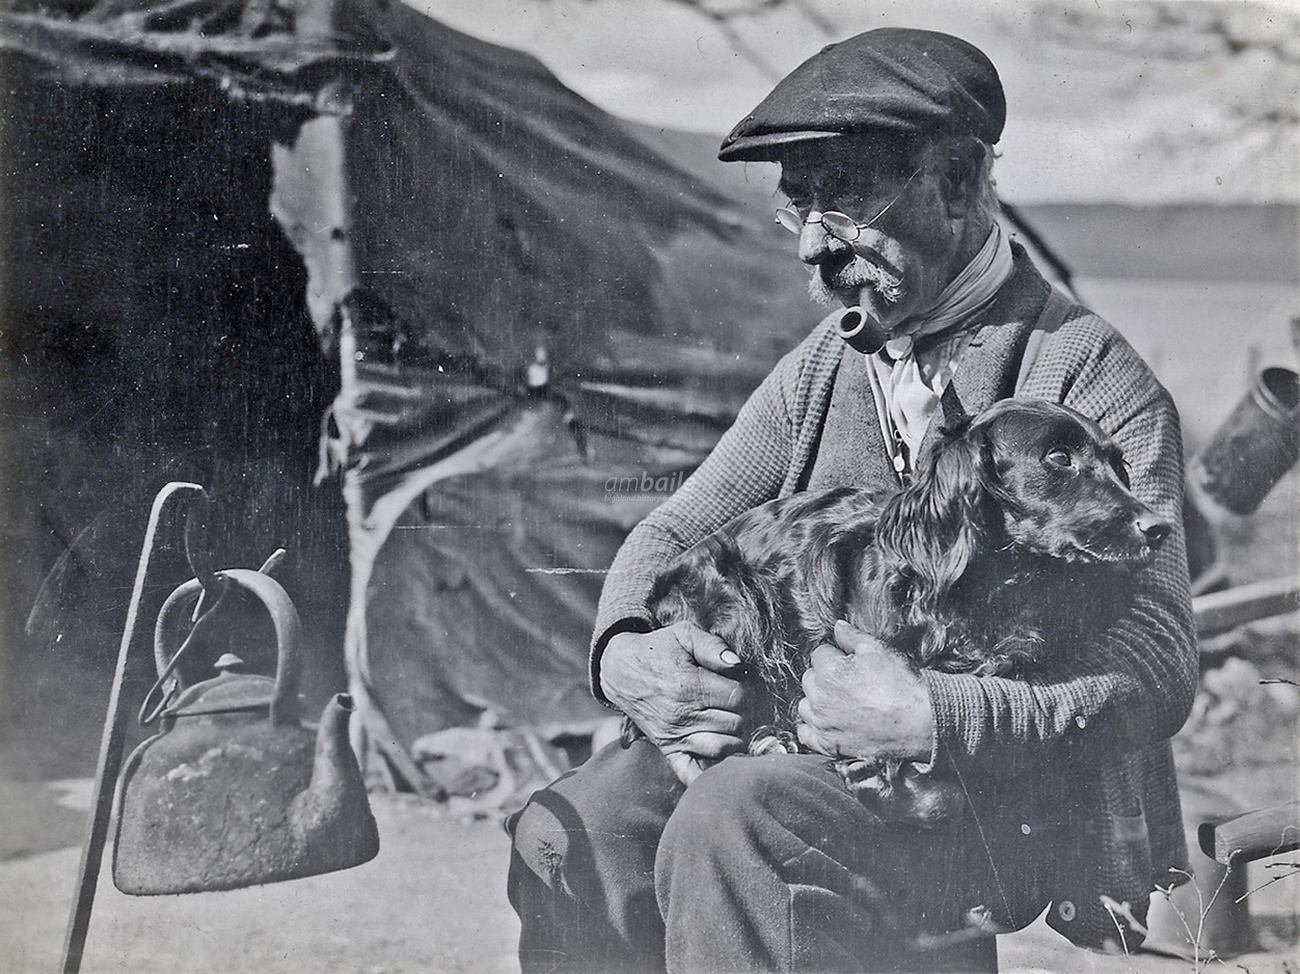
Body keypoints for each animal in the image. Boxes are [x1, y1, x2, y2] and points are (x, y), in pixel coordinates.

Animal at [634, 397, 1175, 827]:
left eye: (1120, 464)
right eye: (1059, 458)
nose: (1159, 527)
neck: (989, 589)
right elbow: (943, 799)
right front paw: (873, 776)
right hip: (743, 605)